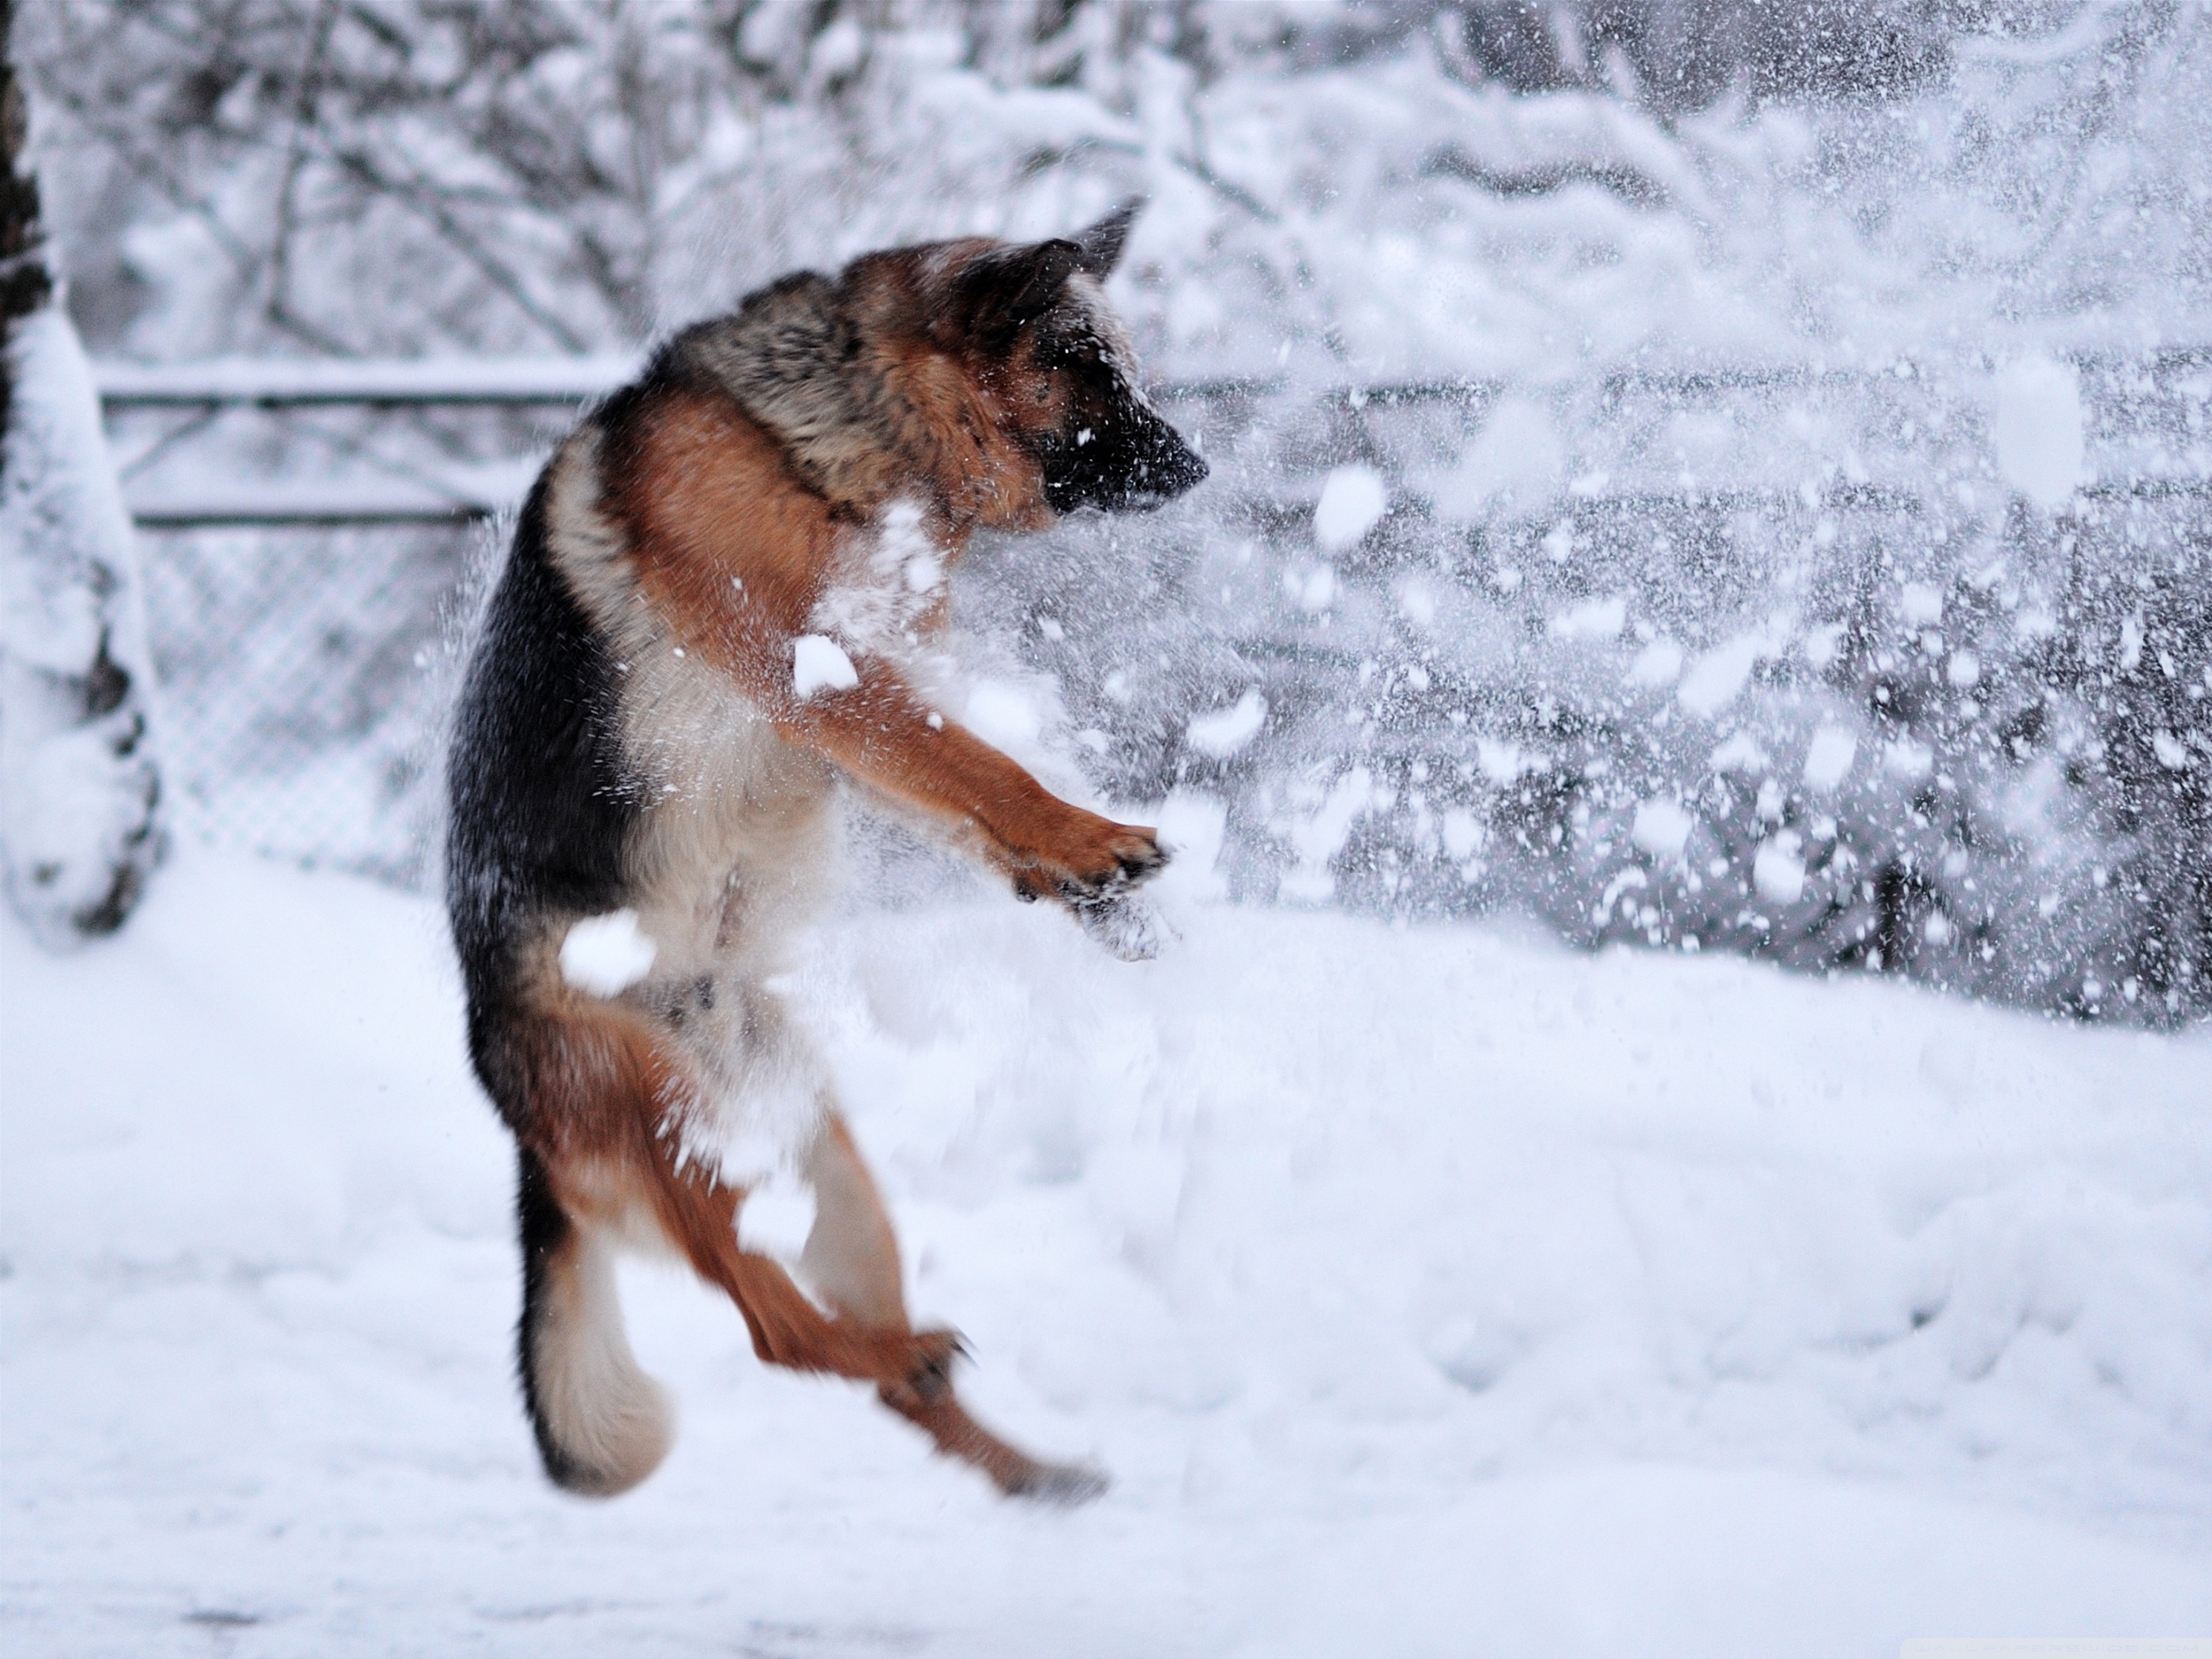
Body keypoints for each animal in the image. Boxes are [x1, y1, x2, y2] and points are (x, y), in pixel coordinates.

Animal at [446, 205, 1203, 1504]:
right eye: (1088, 367)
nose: (1197, 465)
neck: (843, 439)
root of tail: (511, 1114)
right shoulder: (824, 678)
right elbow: (979, 768)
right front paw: (1092, 840)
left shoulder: (859, 714)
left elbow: (960, 796)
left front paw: (1082, 888)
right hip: (667, 1123)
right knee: (776, 1332)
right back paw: (905, 1360)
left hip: (830, 1168)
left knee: (869, 1362)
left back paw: (1027, 1469)